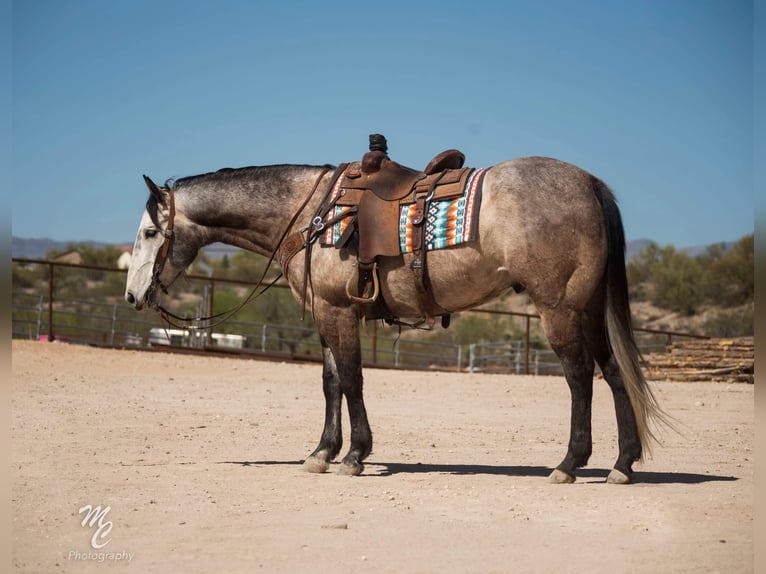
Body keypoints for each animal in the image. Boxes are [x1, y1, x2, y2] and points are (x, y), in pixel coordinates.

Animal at [124, 154, 672, 486]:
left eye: (151, 231)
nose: (132, 295)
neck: (312, 214)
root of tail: (589, 184)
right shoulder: (327, 314)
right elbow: (331, 383)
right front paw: (321, 453)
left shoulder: (339, 312)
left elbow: (351, 380)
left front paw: (354, 456)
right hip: (589, 309)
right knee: (614, 374)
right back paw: (622, 464)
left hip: (559, 308)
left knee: (580, 378)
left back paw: (569, 464)